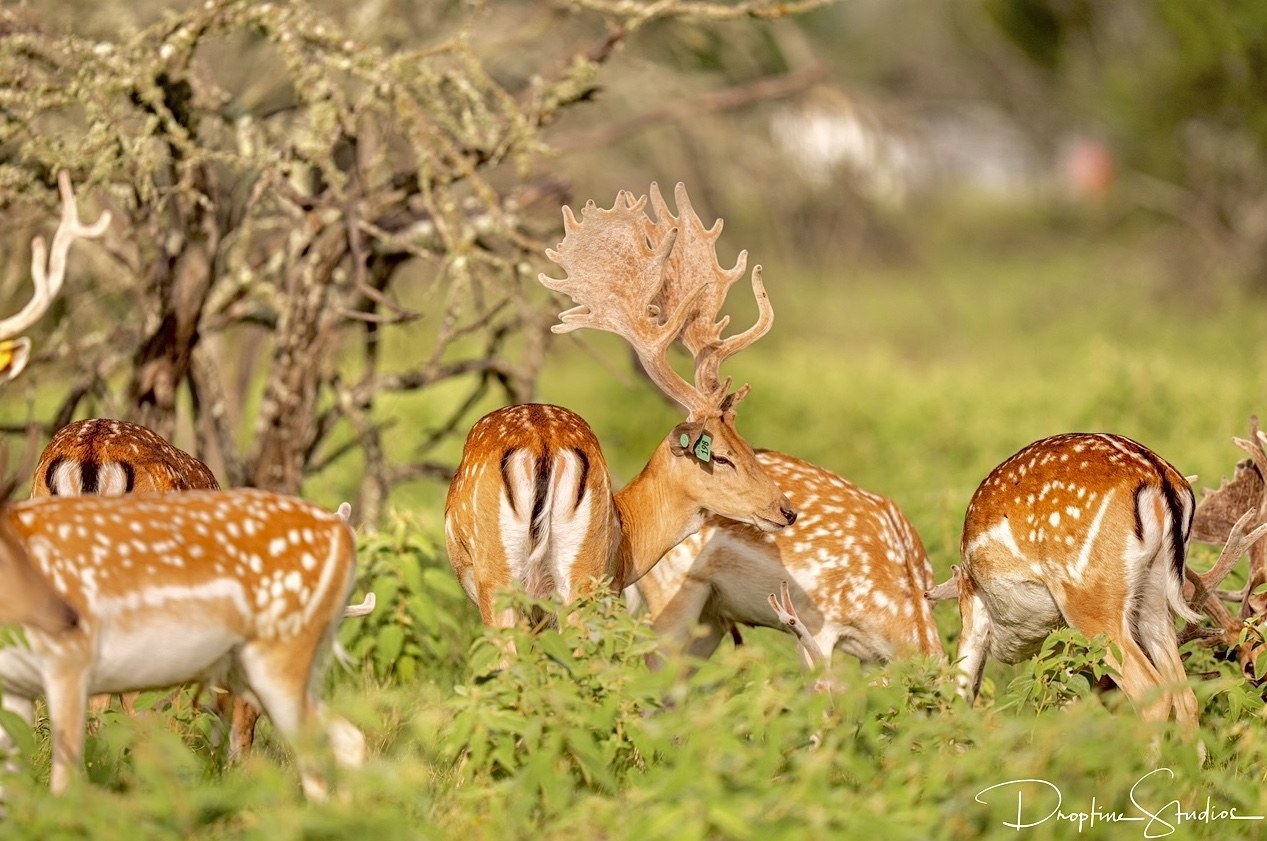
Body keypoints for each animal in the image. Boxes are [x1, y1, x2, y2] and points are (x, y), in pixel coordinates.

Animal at [445, 182, 796, 634]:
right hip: (559, 578)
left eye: (746, 445)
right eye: (721, 455)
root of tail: (543, 446)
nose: (786, 510)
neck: (628, 543)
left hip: (521, 578)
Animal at [929, 432, 1209, 735]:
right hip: (1155, 597)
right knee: (1185, 696)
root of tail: (1159, 478)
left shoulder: (973, 603)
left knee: (1150, 692)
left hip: (1088, 597)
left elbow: (963, 684)